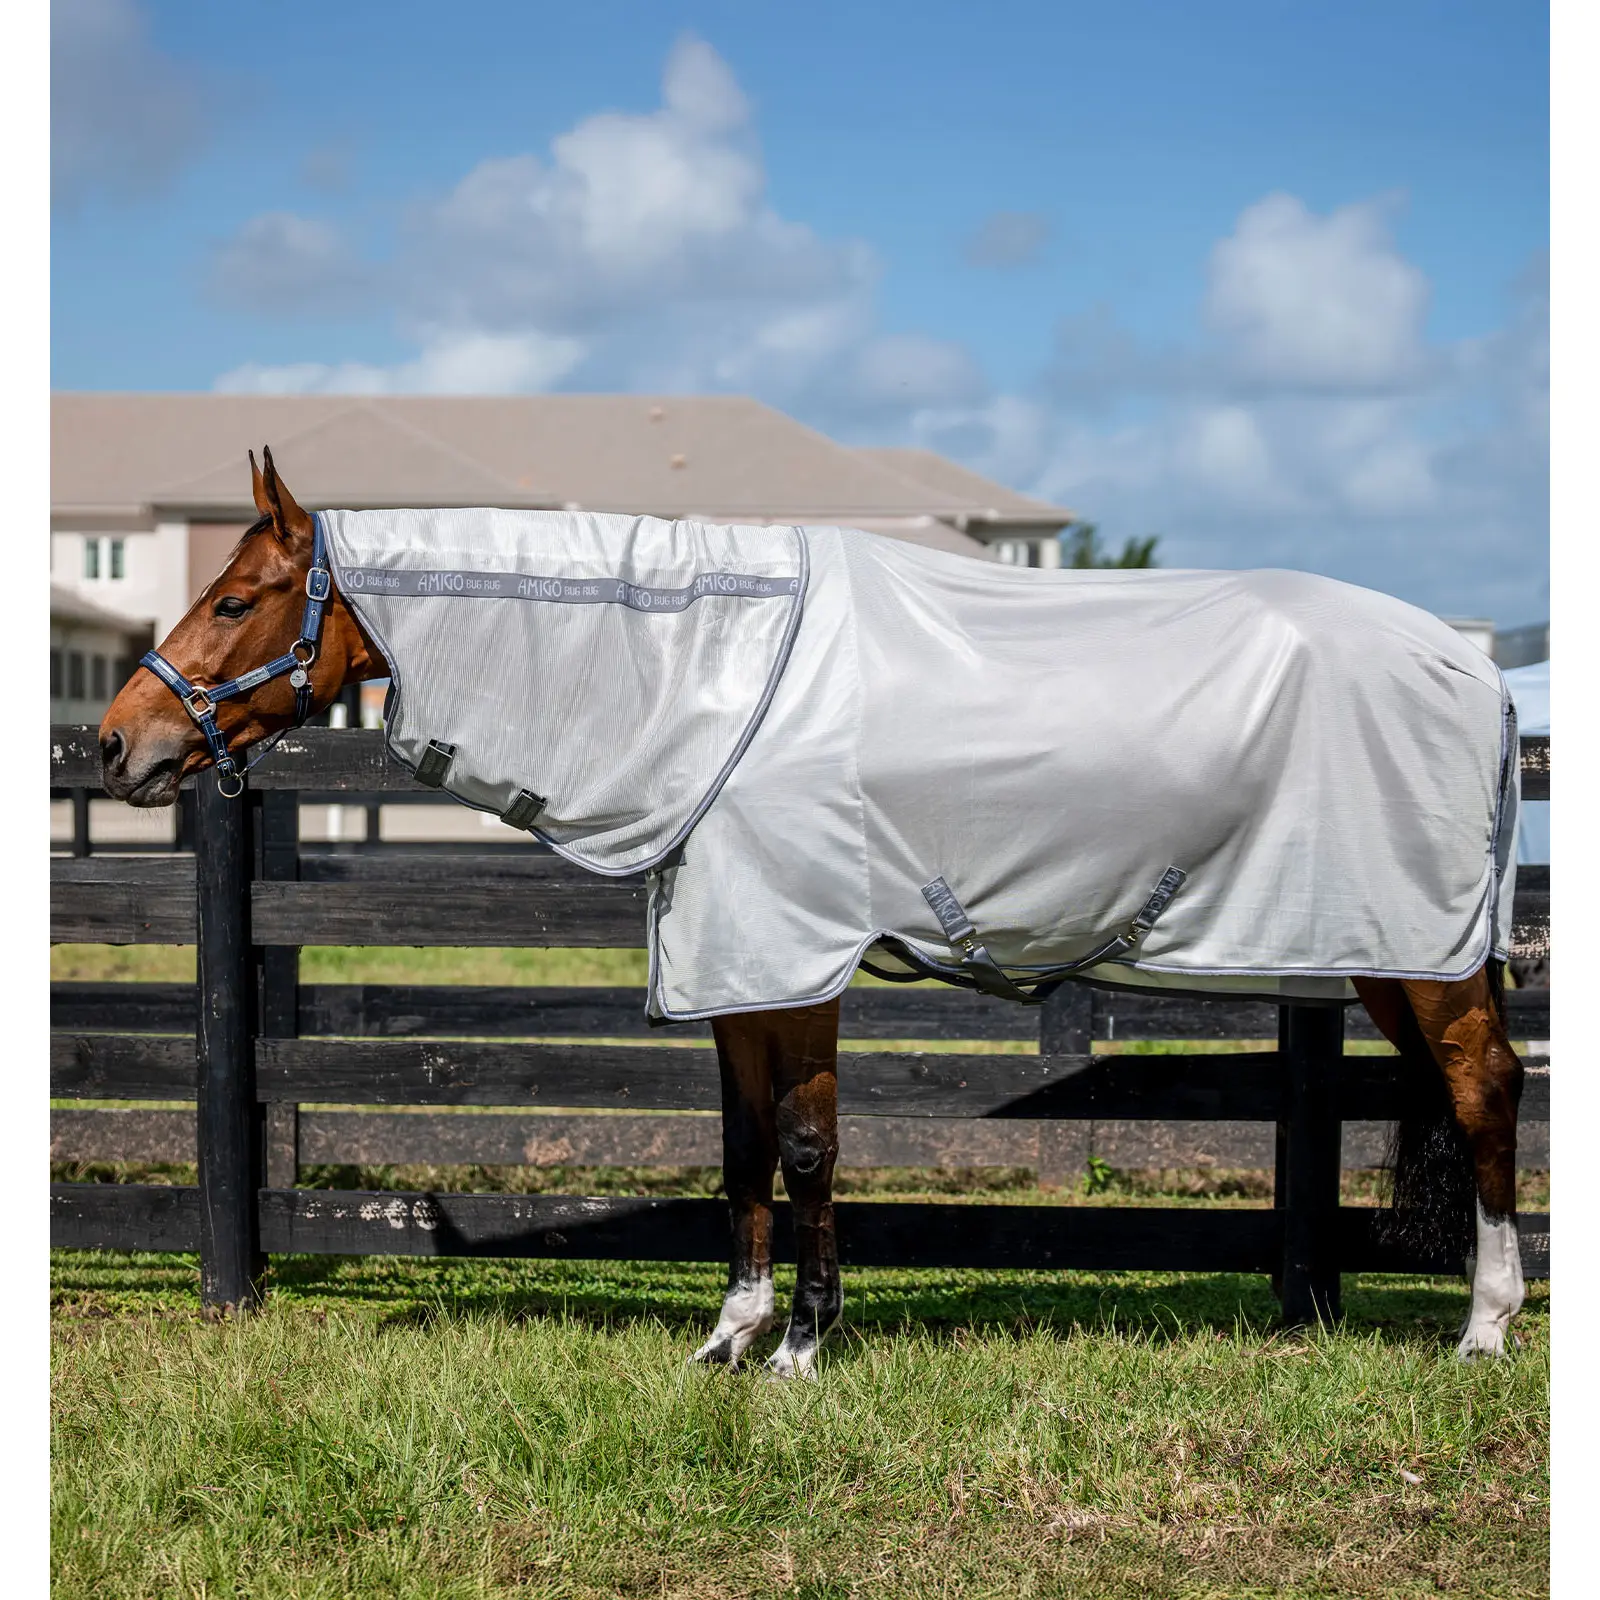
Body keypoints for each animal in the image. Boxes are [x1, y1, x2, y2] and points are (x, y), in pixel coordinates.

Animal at [98, 447, 1528, 1373]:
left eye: (235, 598)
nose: (117, 744)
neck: (712, 676)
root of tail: (1475, 667)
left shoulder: (797, 958)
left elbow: (804, 1148)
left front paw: (799, 1345)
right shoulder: (738, 970)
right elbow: (742, 1151)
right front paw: (731, 1335)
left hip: (1425, 957)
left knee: (1487, 1090)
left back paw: (1485, 1327)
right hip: (1384, 955)